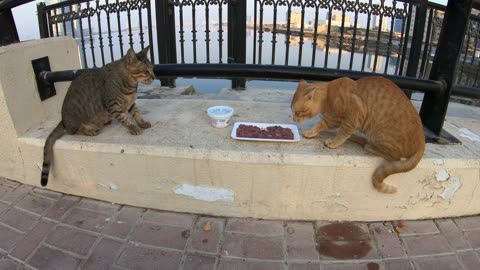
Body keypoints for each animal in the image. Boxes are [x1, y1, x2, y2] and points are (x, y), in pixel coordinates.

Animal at [41, 46, 155, 186]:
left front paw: (142, 122)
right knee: (73, 131)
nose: (154, 77)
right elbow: (125, 119)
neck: (131, 84)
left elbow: (136, 113)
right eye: (146, 71)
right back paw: (89, 130)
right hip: (75, 122)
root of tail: (63, 120)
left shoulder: (130, 104)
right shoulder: (113, 105)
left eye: (152, 69)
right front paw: (132, 127)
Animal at [290, 77, 426, 193]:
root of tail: (422, 143)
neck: (329, 94)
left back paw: (369, 146)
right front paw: (311, 133)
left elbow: (342, 133)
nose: (293, 118)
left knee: (395, 157)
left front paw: (334, 143)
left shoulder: (353, 116)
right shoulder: (332, 120)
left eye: (297, 112)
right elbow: (320, 125)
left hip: (380, 136)